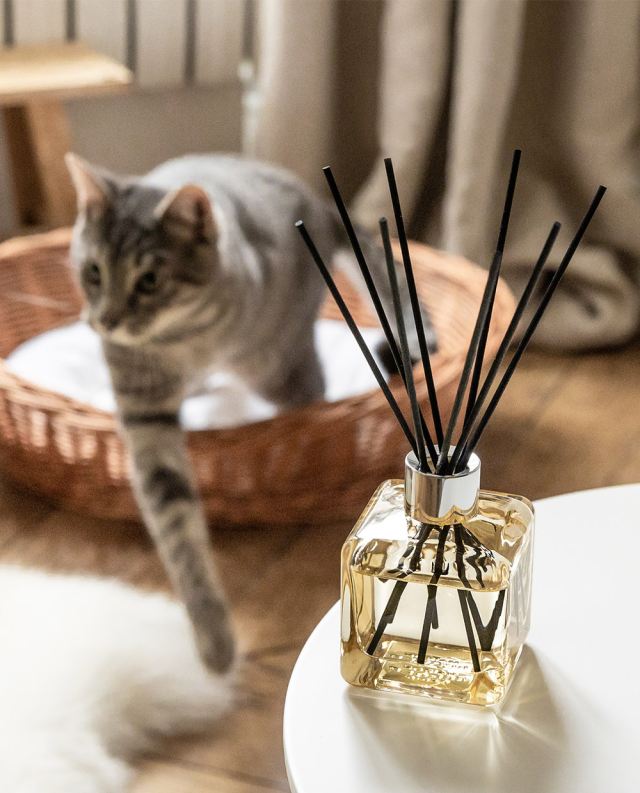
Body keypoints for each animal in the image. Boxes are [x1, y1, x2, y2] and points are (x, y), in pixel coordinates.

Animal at [65, 152, 436, 672]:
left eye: (150, 280)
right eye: (94, 271)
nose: (106, 322)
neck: (184, 341)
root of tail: (317, 202)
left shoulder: (286, 371)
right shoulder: (144, 412)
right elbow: (176, 529)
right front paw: (213, 638)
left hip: (284, 363)